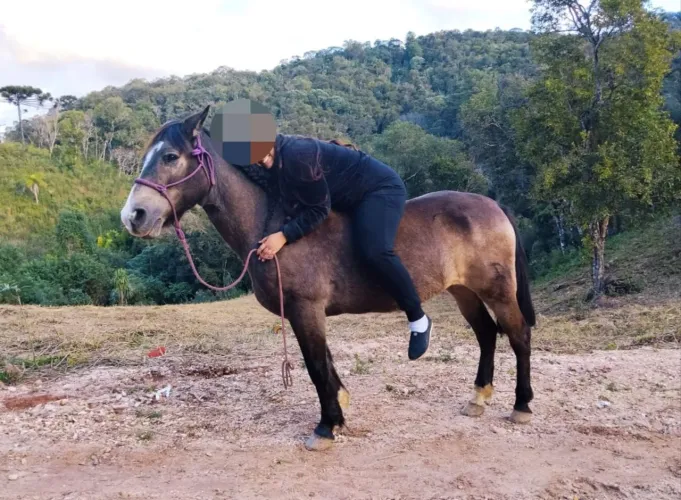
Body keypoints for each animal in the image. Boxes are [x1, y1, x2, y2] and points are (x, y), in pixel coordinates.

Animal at [120, 106, 537, 451]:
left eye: (171, 156)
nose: (133, 216)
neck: (276, 224)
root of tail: (493, 205)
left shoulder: (305, 309)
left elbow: (316, 367)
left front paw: (326, 426)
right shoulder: (305, 313)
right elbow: (327, 364)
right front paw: (340, 411)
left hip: (497, 291)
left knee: (517, 335)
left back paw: (521, 405)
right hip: (464, 291)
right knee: (487, 334)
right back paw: (478, 398)